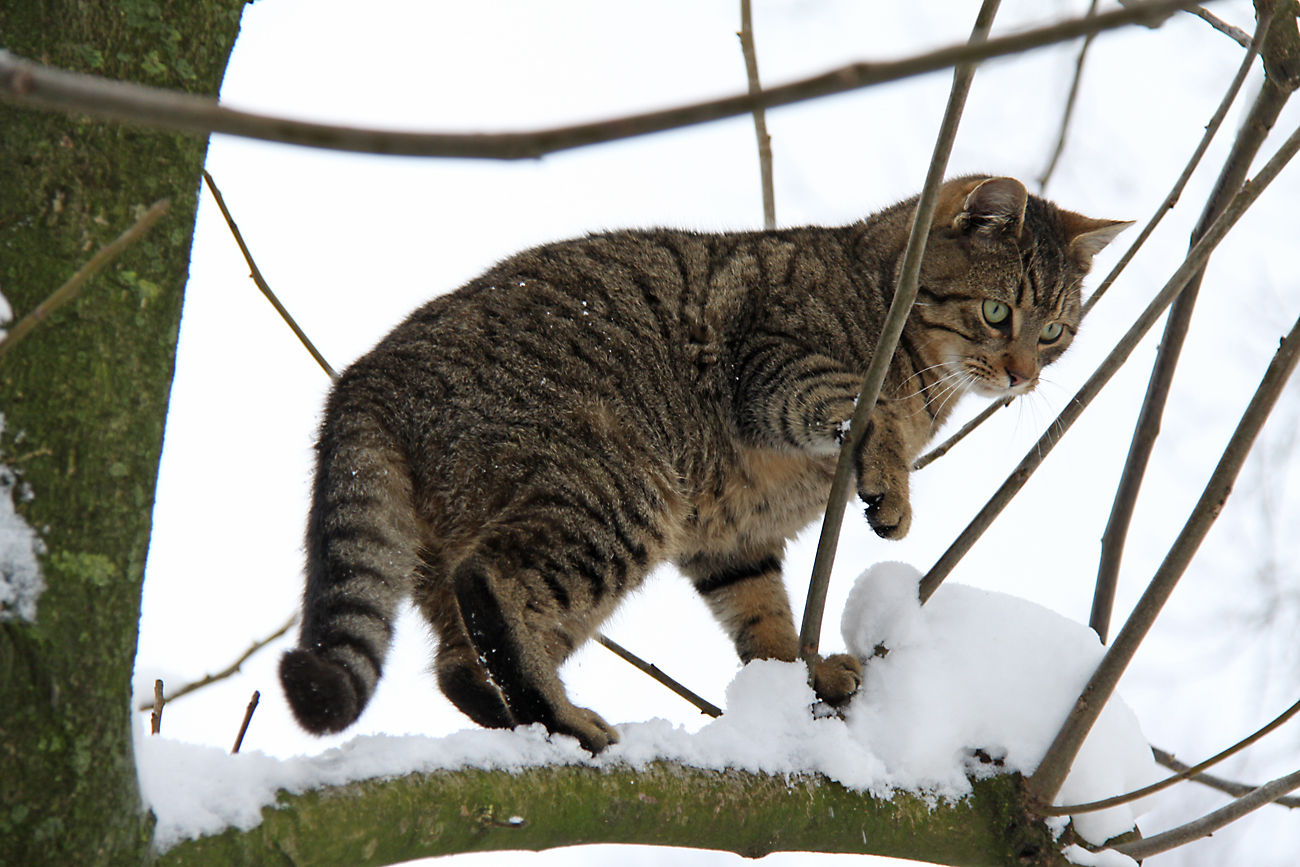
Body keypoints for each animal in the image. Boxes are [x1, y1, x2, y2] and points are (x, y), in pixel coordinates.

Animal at [282, 174, 1128, 753]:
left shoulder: (735, 538)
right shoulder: (777, 365)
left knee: (459, 659)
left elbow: (765, 621)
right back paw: (564, 717)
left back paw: (526, 716)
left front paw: (802, 677)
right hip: (621, 491)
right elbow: (866, 410)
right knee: (491, 586)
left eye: (1056, 331)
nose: (1024, 374)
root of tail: (368, 373)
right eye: (998, 312)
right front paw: (891, 483)